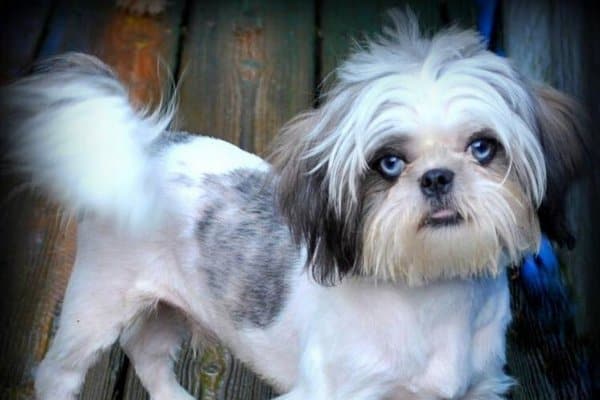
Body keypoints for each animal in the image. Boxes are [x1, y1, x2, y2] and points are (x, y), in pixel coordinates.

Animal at [2, 10, 588, 398]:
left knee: (147, 354)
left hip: (171, 305)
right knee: (59, 372)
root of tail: (144, 147)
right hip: (97, 302)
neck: (430, 293)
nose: (437, 177)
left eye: (483, 148)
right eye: (388, 163)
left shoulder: (476, 389)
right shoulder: (334, 391)